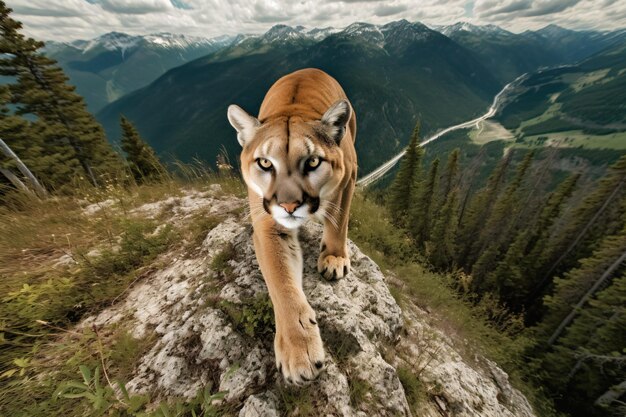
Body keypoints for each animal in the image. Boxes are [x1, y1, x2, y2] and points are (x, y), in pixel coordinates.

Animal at [225, 68, 356, 384]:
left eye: (312, 162)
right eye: (264, 163)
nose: (288, 206)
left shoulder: (348, 177)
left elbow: (339, 222)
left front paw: (334, 257)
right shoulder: (268, 225)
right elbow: (282, 283)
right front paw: (299, 349)